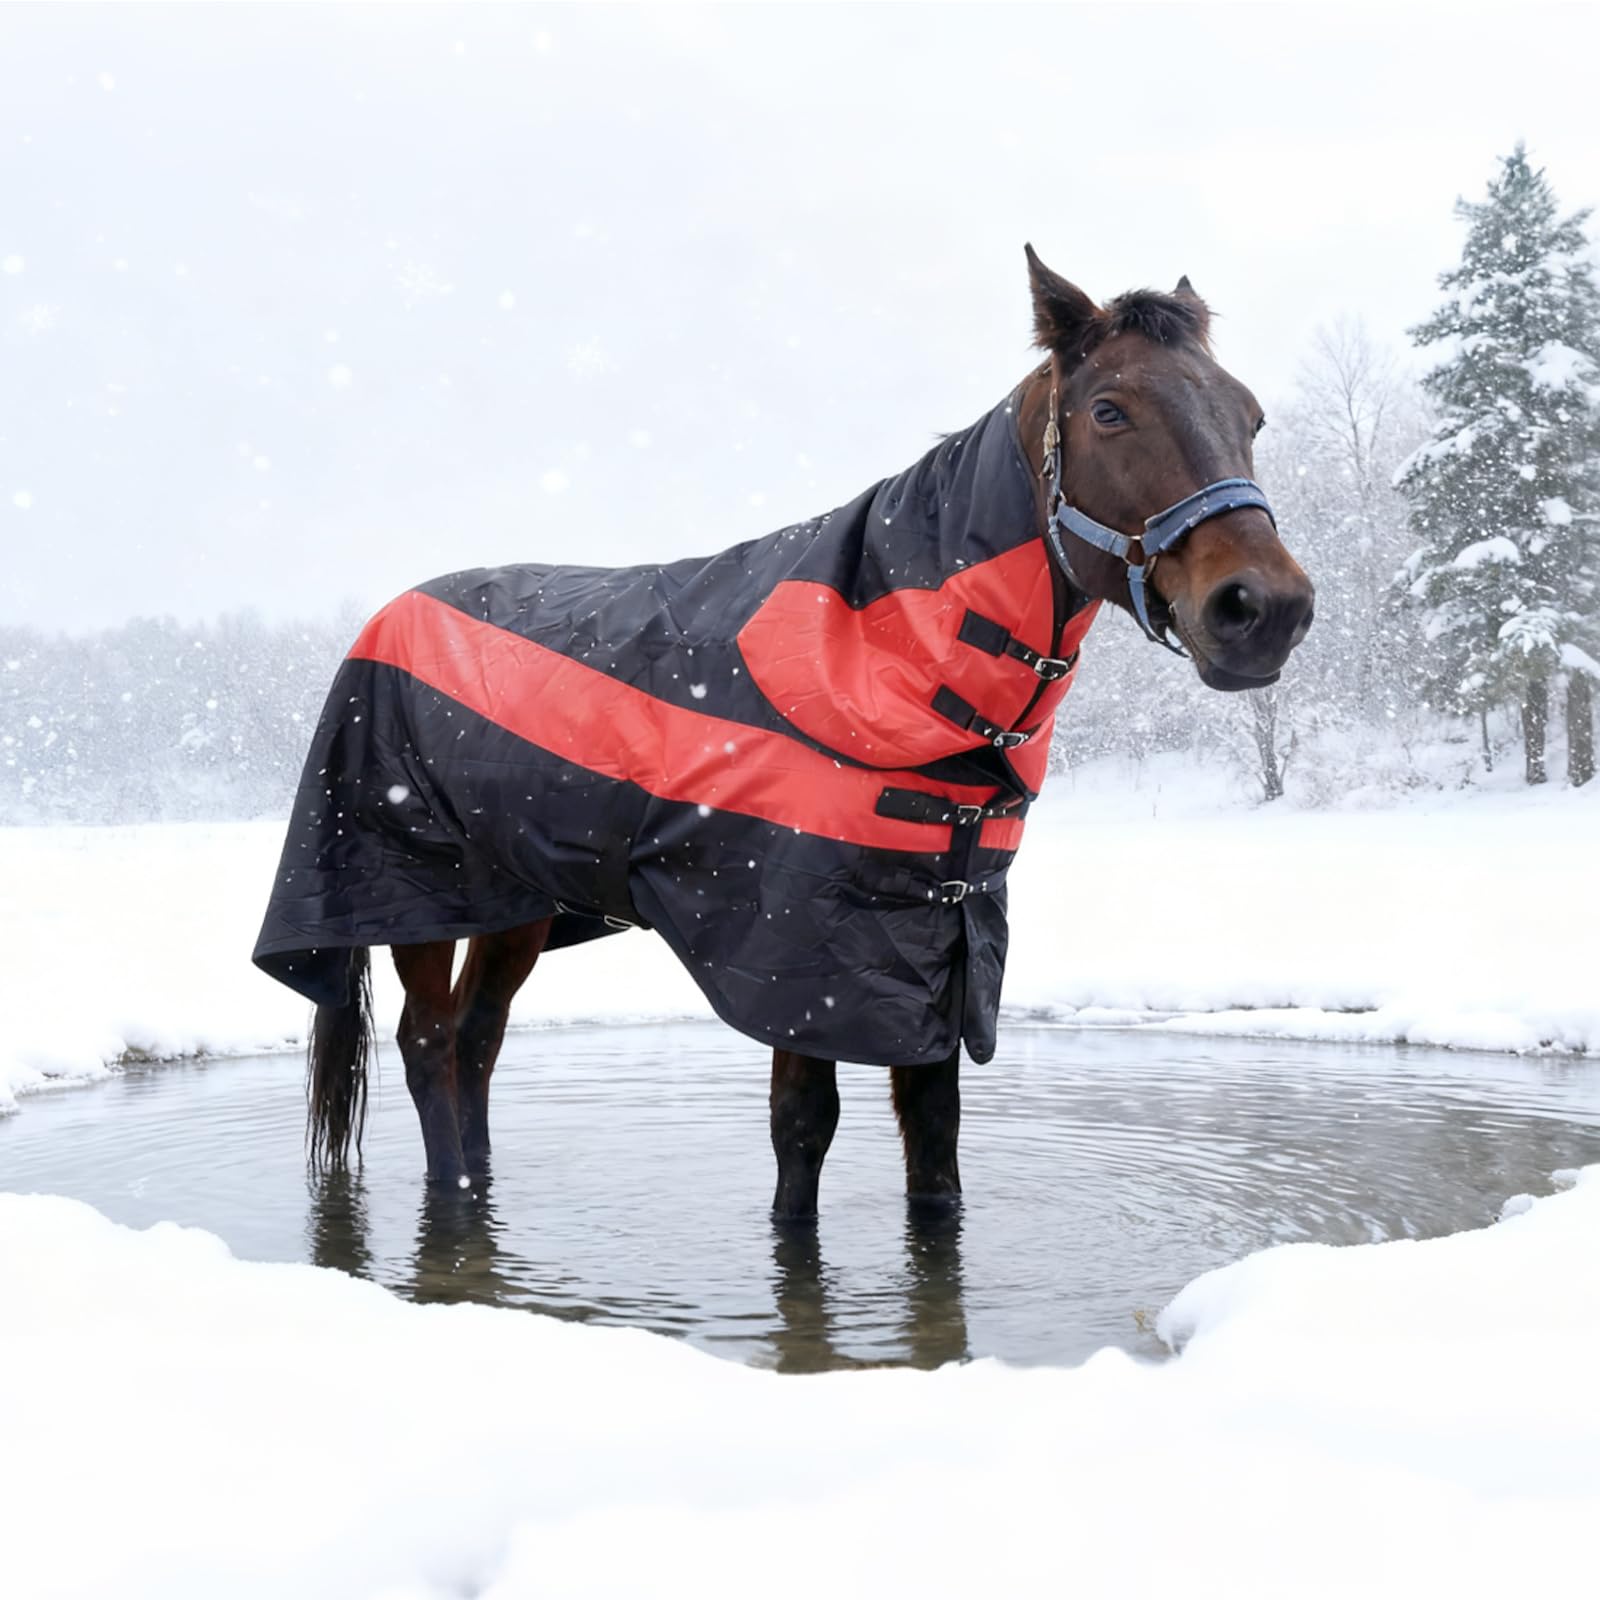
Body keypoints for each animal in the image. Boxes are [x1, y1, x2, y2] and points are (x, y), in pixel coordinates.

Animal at [255, 246, 1313, 1222]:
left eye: (1250, 415)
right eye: (1109, 411)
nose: (1265, 610)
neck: (887, 656)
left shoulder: (934, 953)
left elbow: (935, 1149)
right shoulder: (802, 964)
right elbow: (802, 1139)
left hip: (515, 904)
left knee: (475, 1043)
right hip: (416, 895)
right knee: (430, 1044)